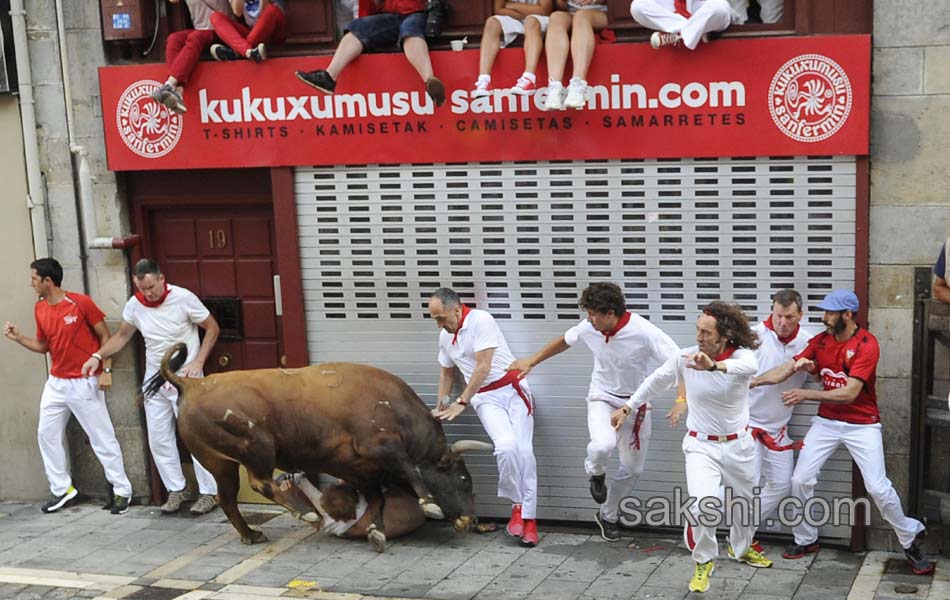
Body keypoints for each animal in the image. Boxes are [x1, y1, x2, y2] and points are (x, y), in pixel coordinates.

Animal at [151, 342, 490, 548]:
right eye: (463, 480)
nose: (470, 519)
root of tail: (193, 383)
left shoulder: (359, 468)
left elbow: (378, 498)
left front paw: (376, 530)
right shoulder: (381, 446)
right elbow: (411, 470)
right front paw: (429, 503)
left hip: (219, 462)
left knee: (227, 497)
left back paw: (251, 533)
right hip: (256, 447)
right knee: (260, 482)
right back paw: (305, 512)